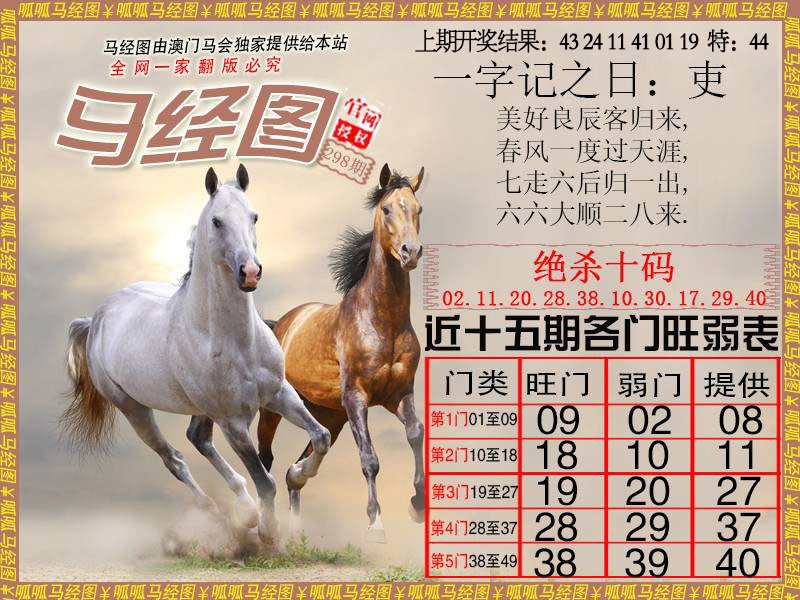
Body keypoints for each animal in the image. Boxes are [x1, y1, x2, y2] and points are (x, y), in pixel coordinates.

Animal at [63, 165, 331, 543]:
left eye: (254, 216)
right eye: (217, 221)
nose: (250, 272)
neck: (235, 341)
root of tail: (96, 317)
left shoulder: (278, 393)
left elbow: (320, 437)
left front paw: (298, 474)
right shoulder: (233, 421)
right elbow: (265, 480)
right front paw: (268, 531)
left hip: (200, 409)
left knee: (197, 438)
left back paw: (243, 509)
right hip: (134, 409)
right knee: (174, 459)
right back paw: (225, 516)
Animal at [256, 163, 425, 543]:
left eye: (418, 209)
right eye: (386, 209)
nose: (410, 252)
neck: (382, 321)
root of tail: (280, 324)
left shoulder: (399, 395)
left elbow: (415, 434)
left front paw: (417, 505)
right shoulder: (357, 397)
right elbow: (370, 458)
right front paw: (376, 524)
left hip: (329, 414)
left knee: (298, 466)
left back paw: (297, 510)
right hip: (275, 409)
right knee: (265, 458)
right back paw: (264, 524)